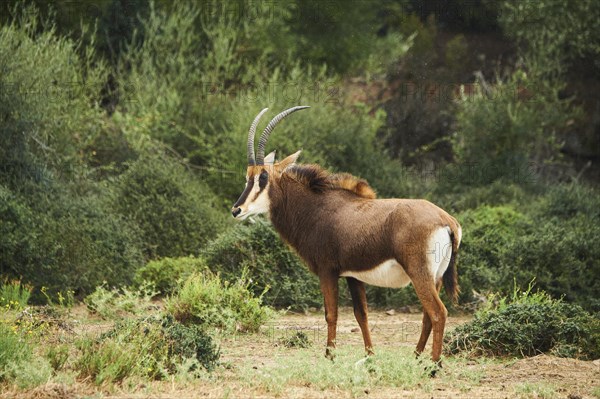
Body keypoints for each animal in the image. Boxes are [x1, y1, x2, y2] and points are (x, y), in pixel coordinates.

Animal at [232, 105, 462, 372]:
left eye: (263, 178)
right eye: (247, 177)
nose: (236, 210)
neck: (316, 207)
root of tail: (447, 221)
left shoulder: (327, 271)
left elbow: (331, 313)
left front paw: (329, 356)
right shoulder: (353, 276)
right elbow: (361, 314)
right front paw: (370, 356)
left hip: (419, 273)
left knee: (437, 312)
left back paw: (433, 366)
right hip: (435, 277)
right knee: (427, 315)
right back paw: (415, 358)